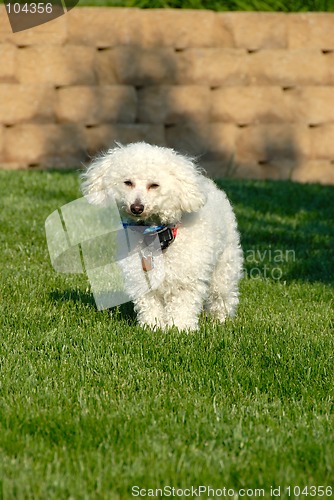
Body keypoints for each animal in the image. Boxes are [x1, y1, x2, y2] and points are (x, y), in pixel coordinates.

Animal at [81, 143, 243, 330]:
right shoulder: (142, 278)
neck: (155, 235)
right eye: (128, 183)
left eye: (154, 185)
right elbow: (150, 305)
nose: (137, 207)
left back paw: (220, 320)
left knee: (222, 295)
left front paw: (181, 329)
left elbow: (182, 306)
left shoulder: (185, 280)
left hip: (225, 266)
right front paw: (152, 327)